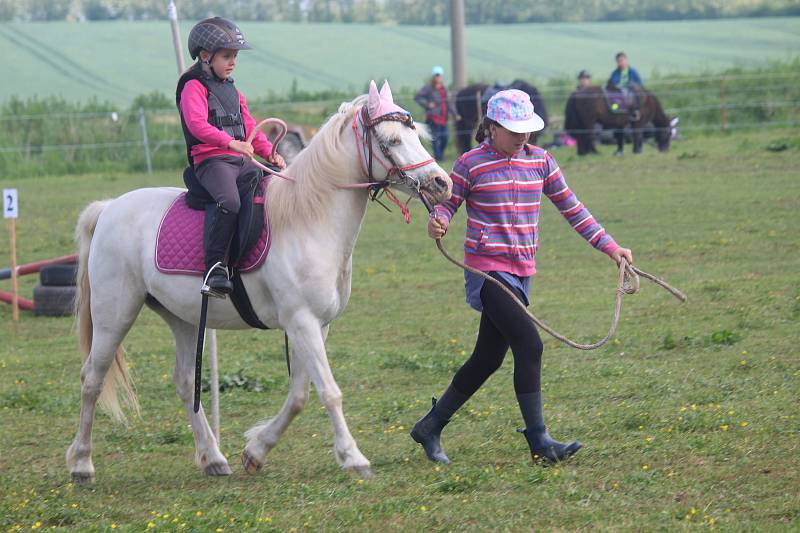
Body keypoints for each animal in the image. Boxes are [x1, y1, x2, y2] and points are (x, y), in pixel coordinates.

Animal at [65, 80, 454, 482]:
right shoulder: (301, 321)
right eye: (391, 140)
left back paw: (213, 458)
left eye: (415, 134)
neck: (308, 220)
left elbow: (299, 395)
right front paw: (353, 457)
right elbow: (329, 391)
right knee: (92, 378)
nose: (442, 183)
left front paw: (256, 451)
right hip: (115, 315)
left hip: (183, 318)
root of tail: (109, 208)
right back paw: (82, 464)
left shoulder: (316, 325)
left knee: (185, 382)